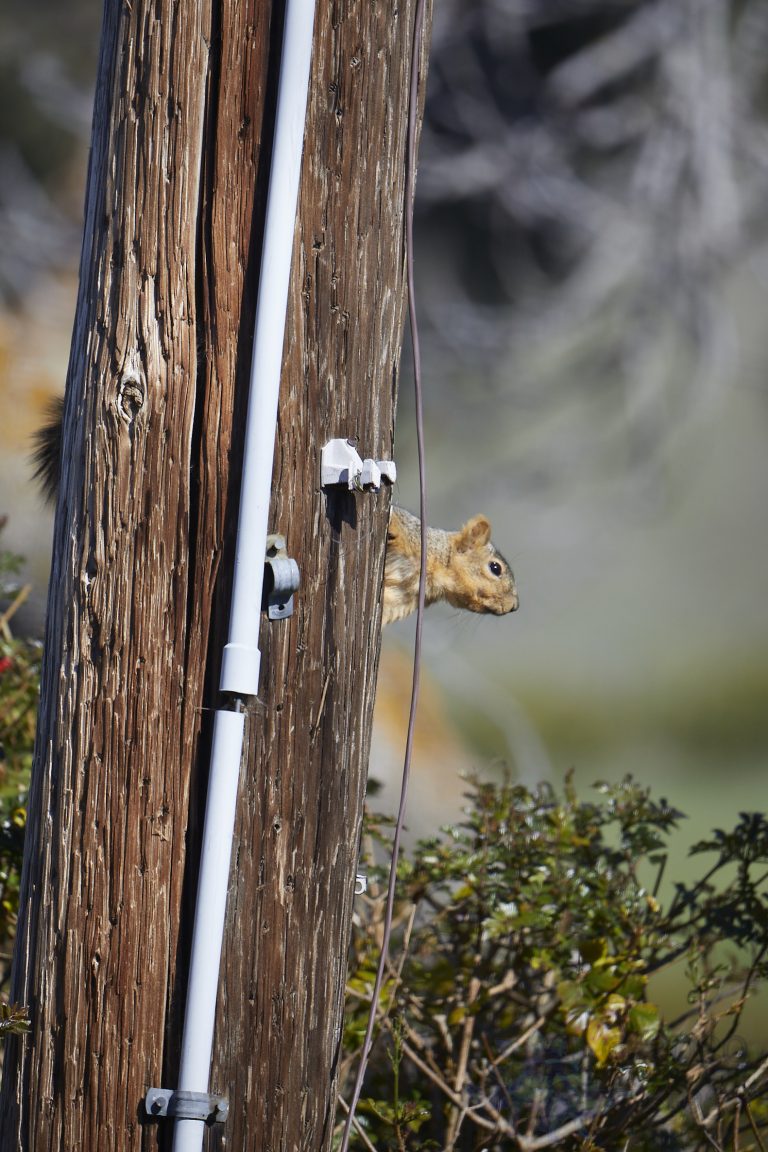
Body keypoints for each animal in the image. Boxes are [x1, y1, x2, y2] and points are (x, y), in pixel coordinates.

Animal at [32, 398, 518, 626]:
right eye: (495, 568)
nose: (514, 607)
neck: (431, 572)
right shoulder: (414, 539)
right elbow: (397, 523)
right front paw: (390, 530)